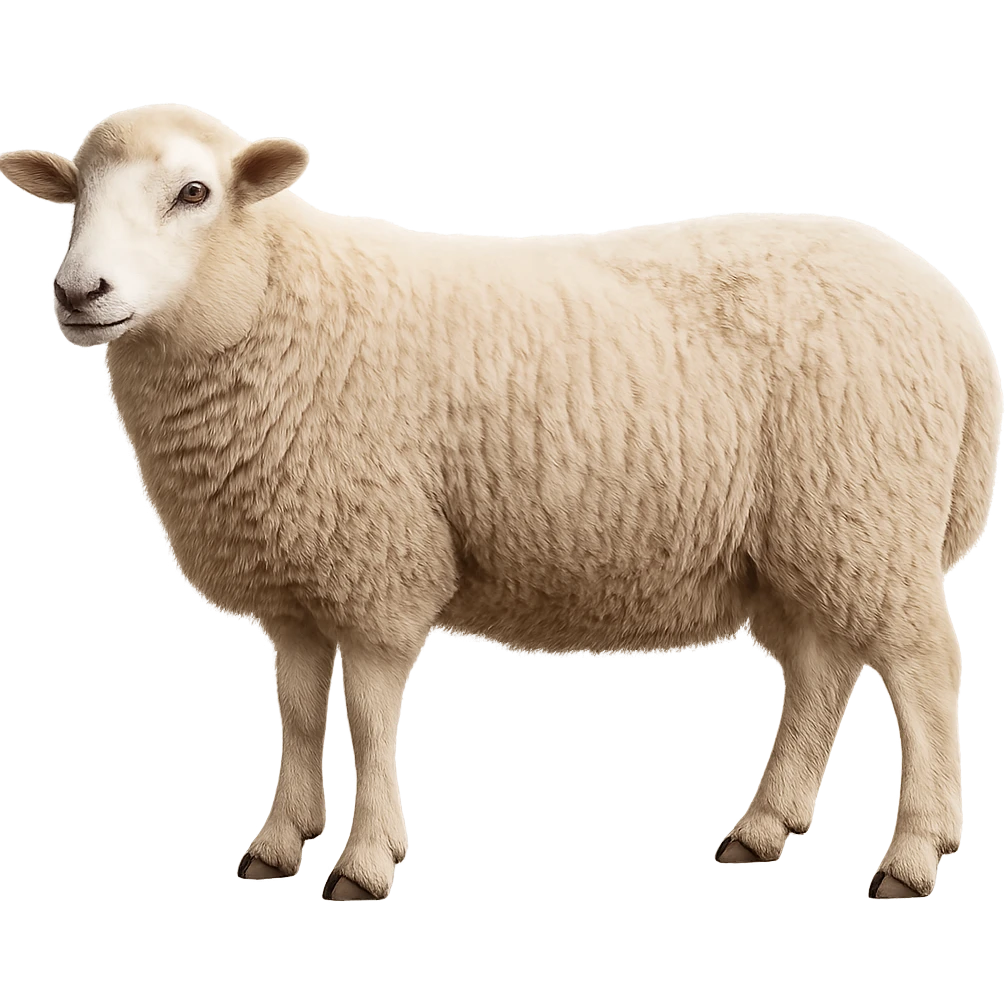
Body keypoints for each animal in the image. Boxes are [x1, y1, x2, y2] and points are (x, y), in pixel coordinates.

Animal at [1, 106, 999, 903]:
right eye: (73, 194)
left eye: (194, 192)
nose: (79, 292)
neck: (275, 304)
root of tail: (951, 312)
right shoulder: (297, 573)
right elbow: (296, 713)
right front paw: (279, 845)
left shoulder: (376, 561)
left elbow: (369, 717)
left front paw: (365, 860)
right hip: (805, 540)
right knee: (822, 671)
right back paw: (763, 828)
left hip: (863, 511)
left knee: (922, 671)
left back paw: (913, 855)